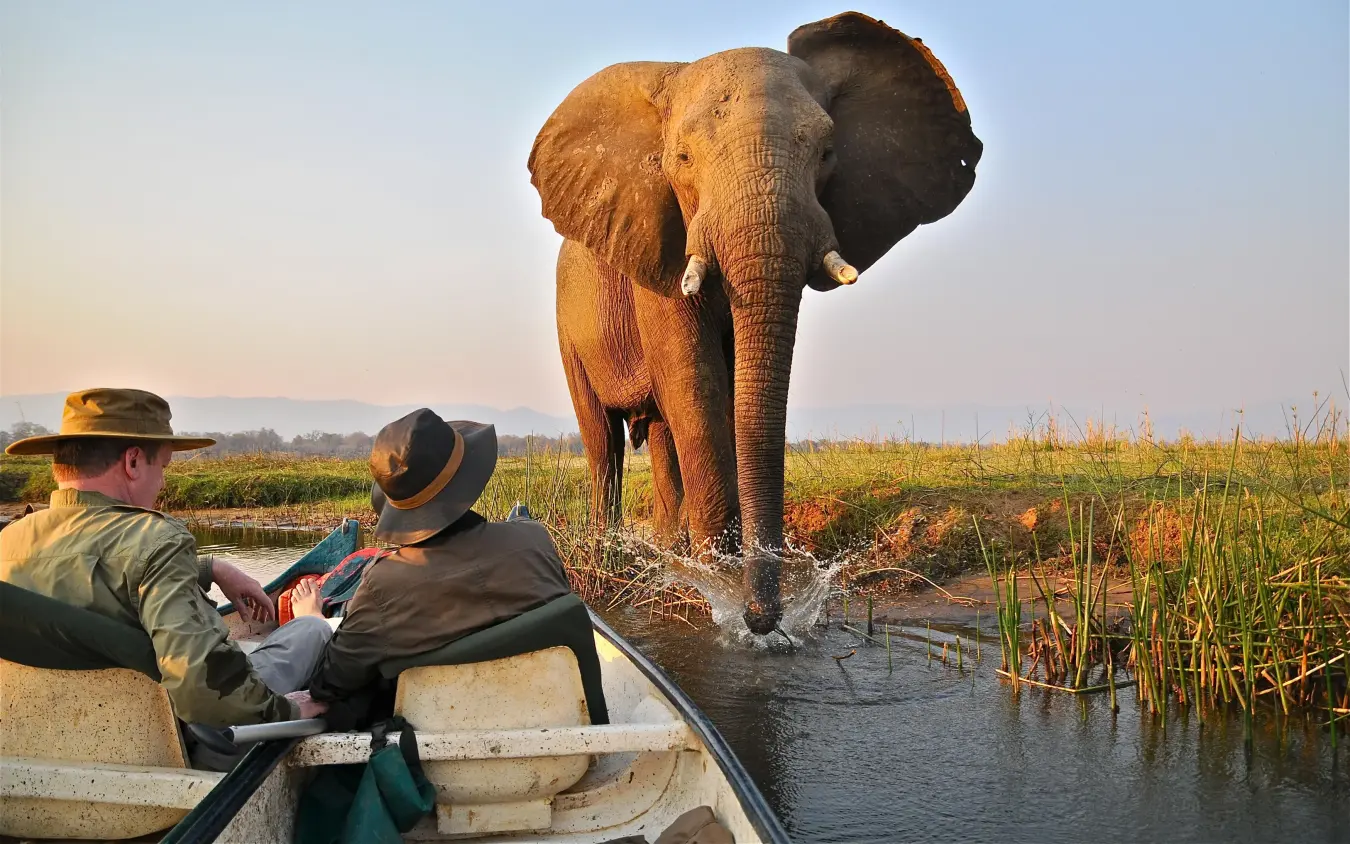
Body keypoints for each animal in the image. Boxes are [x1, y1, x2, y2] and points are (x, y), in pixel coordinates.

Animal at [527, 11, 981, 634]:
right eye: (683, 159)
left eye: (827, 152)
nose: (762, 617)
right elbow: (695, 382)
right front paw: (715, 584)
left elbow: (727, 388)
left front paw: (714, 577)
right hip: (566, 325)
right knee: (603, 440)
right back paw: (614, 552)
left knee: (661, 433)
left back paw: (669, 553)